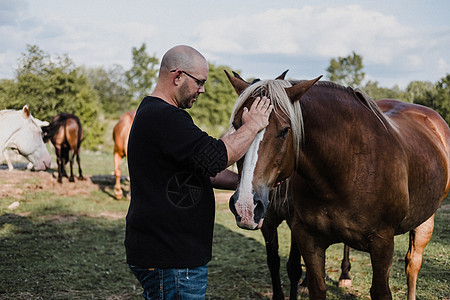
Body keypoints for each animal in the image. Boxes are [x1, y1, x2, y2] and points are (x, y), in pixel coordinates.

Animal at [229, 71, 450, 300]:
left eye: (284, 131)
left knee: (412, 263)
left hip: (425, 220)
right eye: (237, 125)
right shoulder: (306, 237)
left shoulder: (382, 244)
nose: (245, 206)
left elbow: (380, 290)